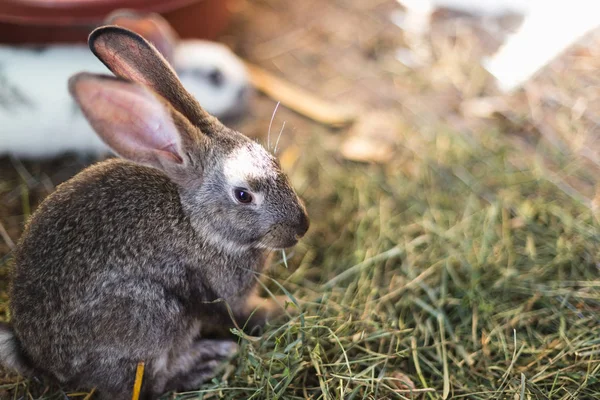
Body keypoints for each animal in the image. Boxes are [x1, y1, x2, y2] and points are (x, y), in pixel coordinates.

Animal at [0, 25, 310, 400]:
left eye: (275, 162)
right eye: (243, 195)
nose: (302, 226)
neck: (198, 223)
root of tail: (37, 359)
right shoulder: (228, 292)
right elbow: (244, 314)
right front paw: (285, 307)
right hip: (153, 317)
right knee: (147, 383)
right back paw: (206, 360)